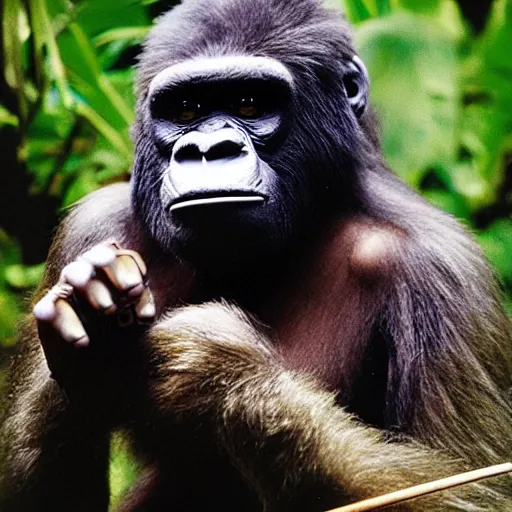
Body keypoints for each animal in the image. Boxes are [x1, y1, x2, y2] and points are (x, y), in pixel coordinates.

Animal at [1, 0, 512, 510]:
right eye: (185, 109)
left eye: (250, 103)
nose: (207, 149)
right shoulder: (90, 229)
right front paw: (87, 320)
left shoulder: (443, 272)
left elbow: (474, 485)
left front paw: (222, 371)